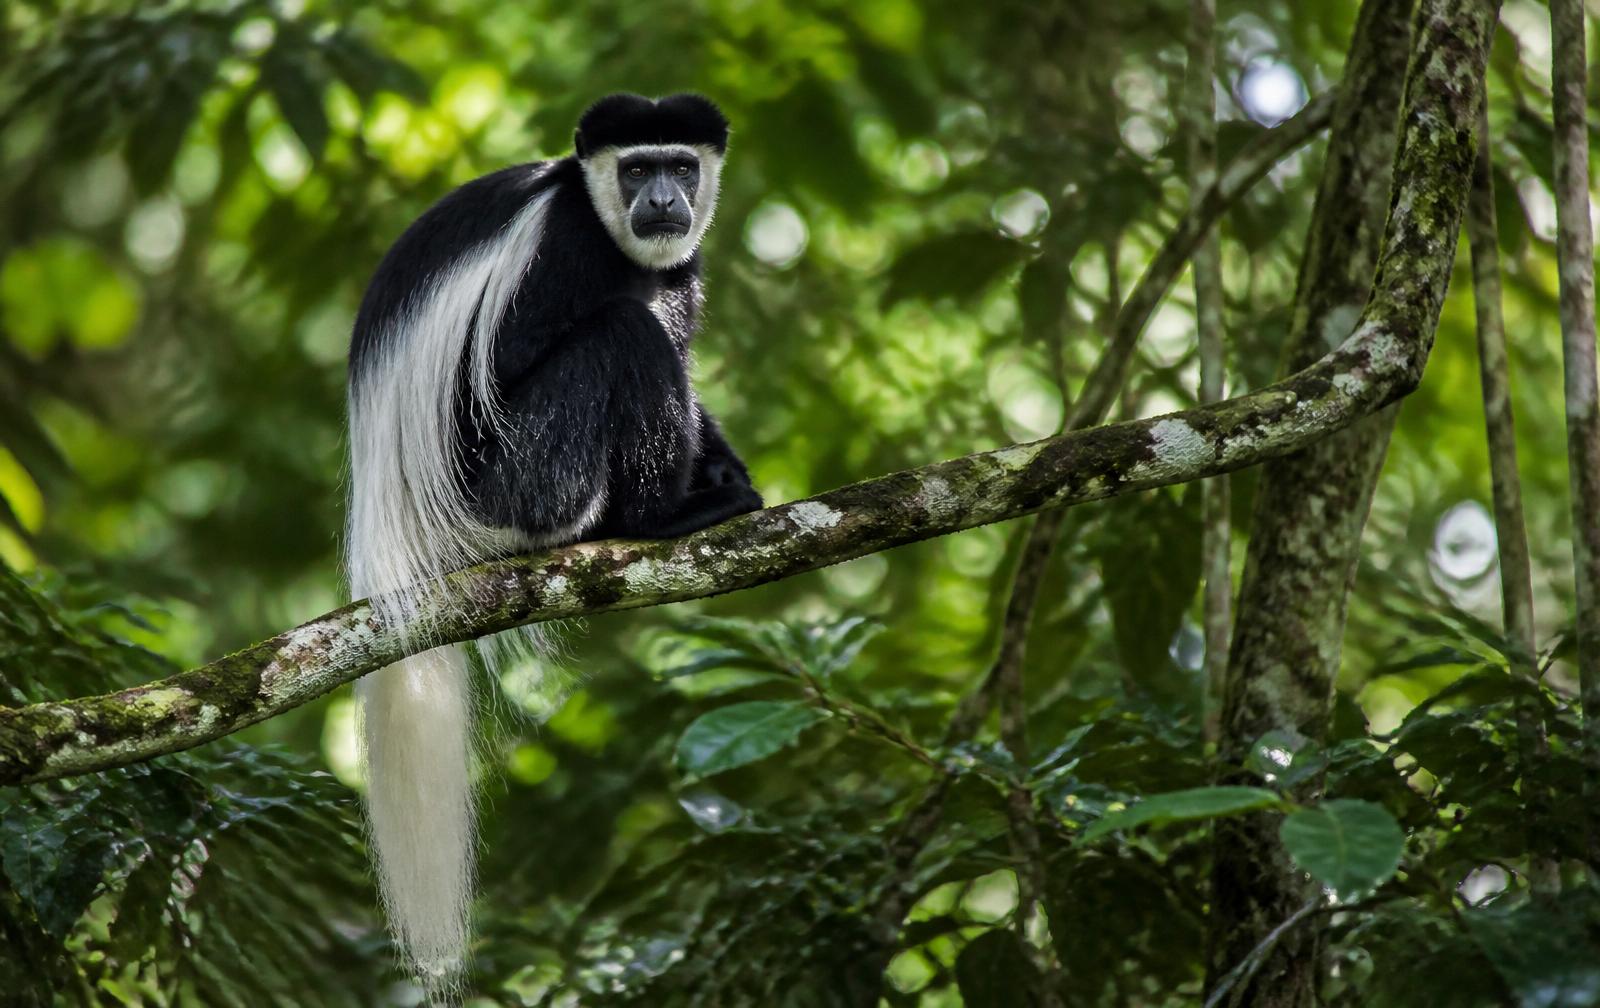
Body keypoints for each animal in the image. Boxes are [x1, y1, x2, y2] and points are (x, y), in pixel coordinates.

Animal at [344, 93, 760, 997]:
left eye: (680, 166)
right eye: (636, 170)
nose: (663, 202)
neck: (603, 220)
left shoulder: (684, 264)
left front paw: (724, 459)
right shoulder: (559, 245)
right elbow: (515, 361)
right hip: (516, 485)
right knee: (620, 332)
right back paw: (654, 517)